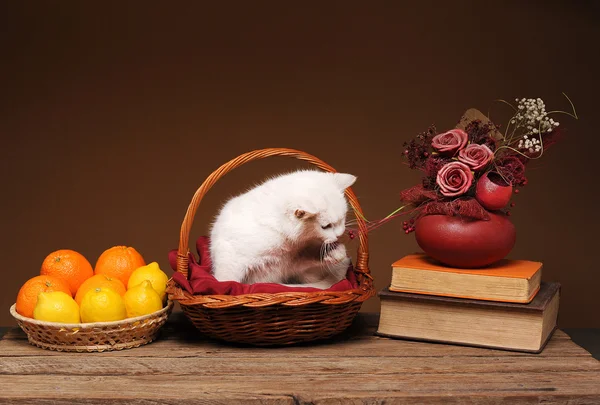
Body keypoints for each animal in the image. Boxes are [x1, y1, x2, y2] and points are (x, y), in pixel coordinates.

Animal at [210, 169, 356, 288]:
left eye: (343, 218)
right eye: (326, 226)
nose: (339, 234)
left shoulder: (290, 262)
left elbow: (309, 258)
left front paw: (336, 253)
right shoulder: (230, 253)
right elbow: (227, 280)